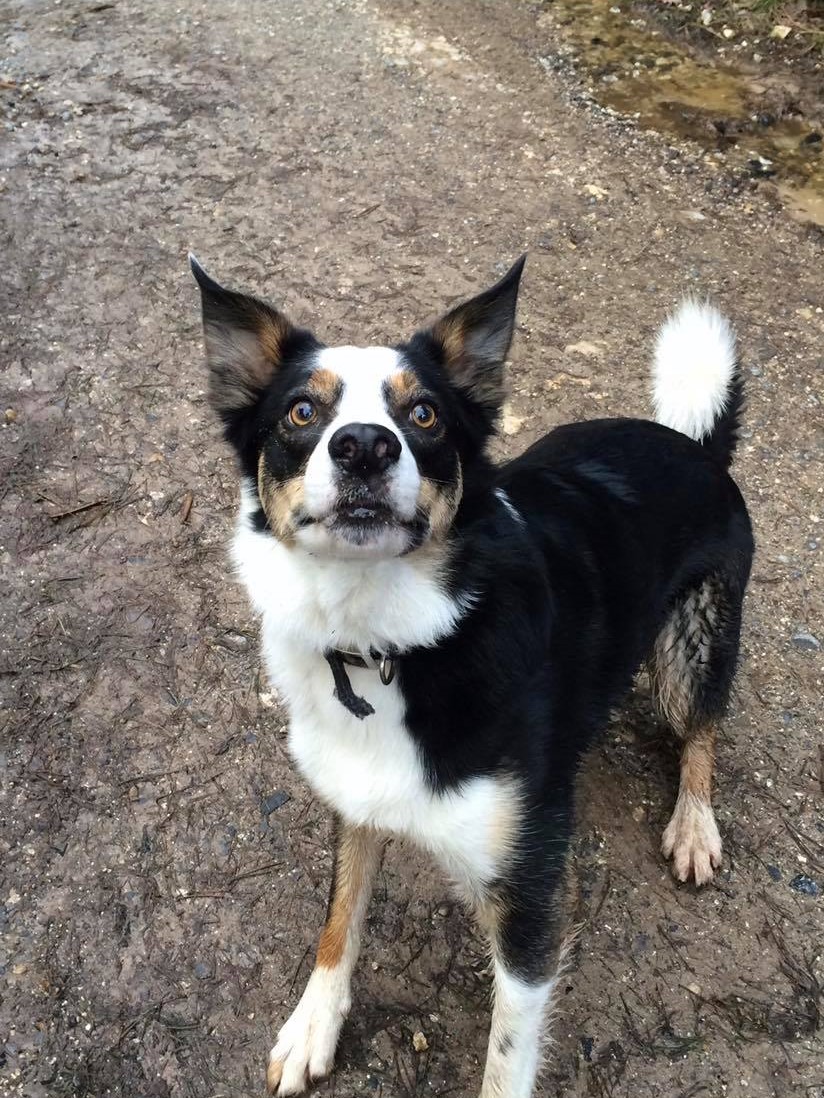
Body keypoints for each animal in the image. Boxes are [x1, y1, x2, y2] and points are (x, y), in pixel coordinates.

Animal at [192, 252, 755, 1093]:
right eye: (301, 412)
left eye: (424, 415)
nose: (365, 446)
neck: (386, 642)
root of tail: (697, 444)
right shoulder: (356, 796)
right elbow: (339, 917)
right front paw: (312, 1026)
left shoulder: (532, 896)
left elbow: (506, 1058)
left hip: (694, 645)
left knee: (702, 729)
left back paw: (693, 824)